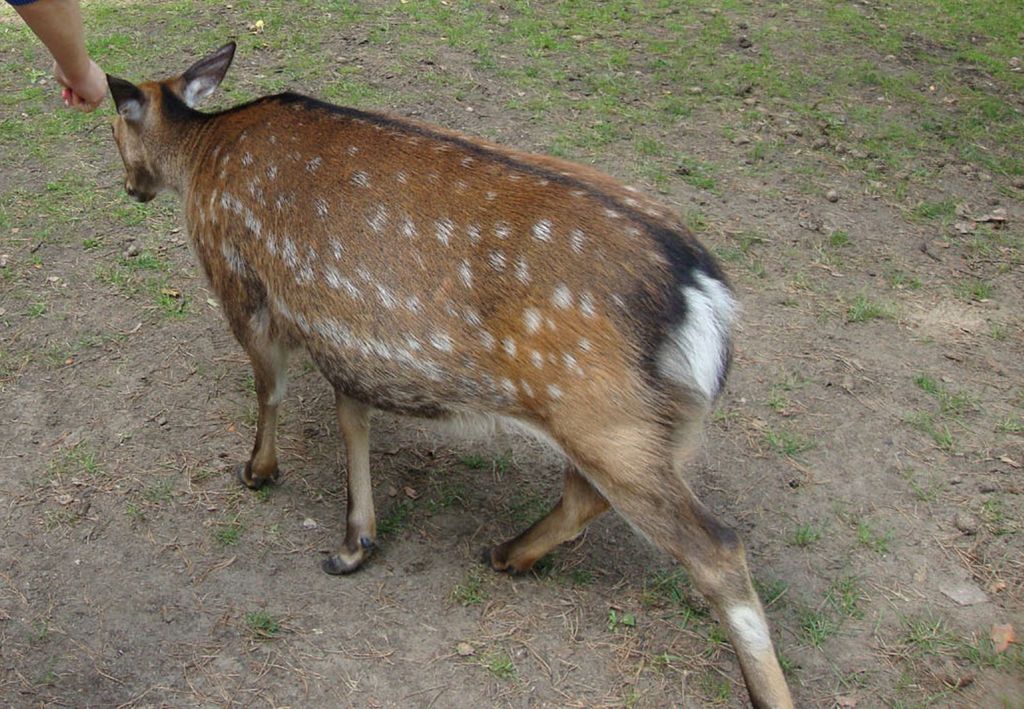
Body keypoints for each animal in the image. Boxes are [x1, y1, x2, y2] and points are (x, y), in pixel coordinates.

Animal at [112, 45, 794, 709]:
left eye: (113, 128)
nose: (131, 187)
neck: (203, 154)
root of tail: (704, 296)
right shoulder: (346, 337)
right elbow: (352, 419)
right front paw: (355, 542)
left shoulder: (243, 288)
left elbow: (271, 391)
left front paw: (258, 473)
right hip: (649, 420)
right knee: (588, 495)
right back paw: (507, 553)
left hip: (599, 410)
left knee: (716, 547)